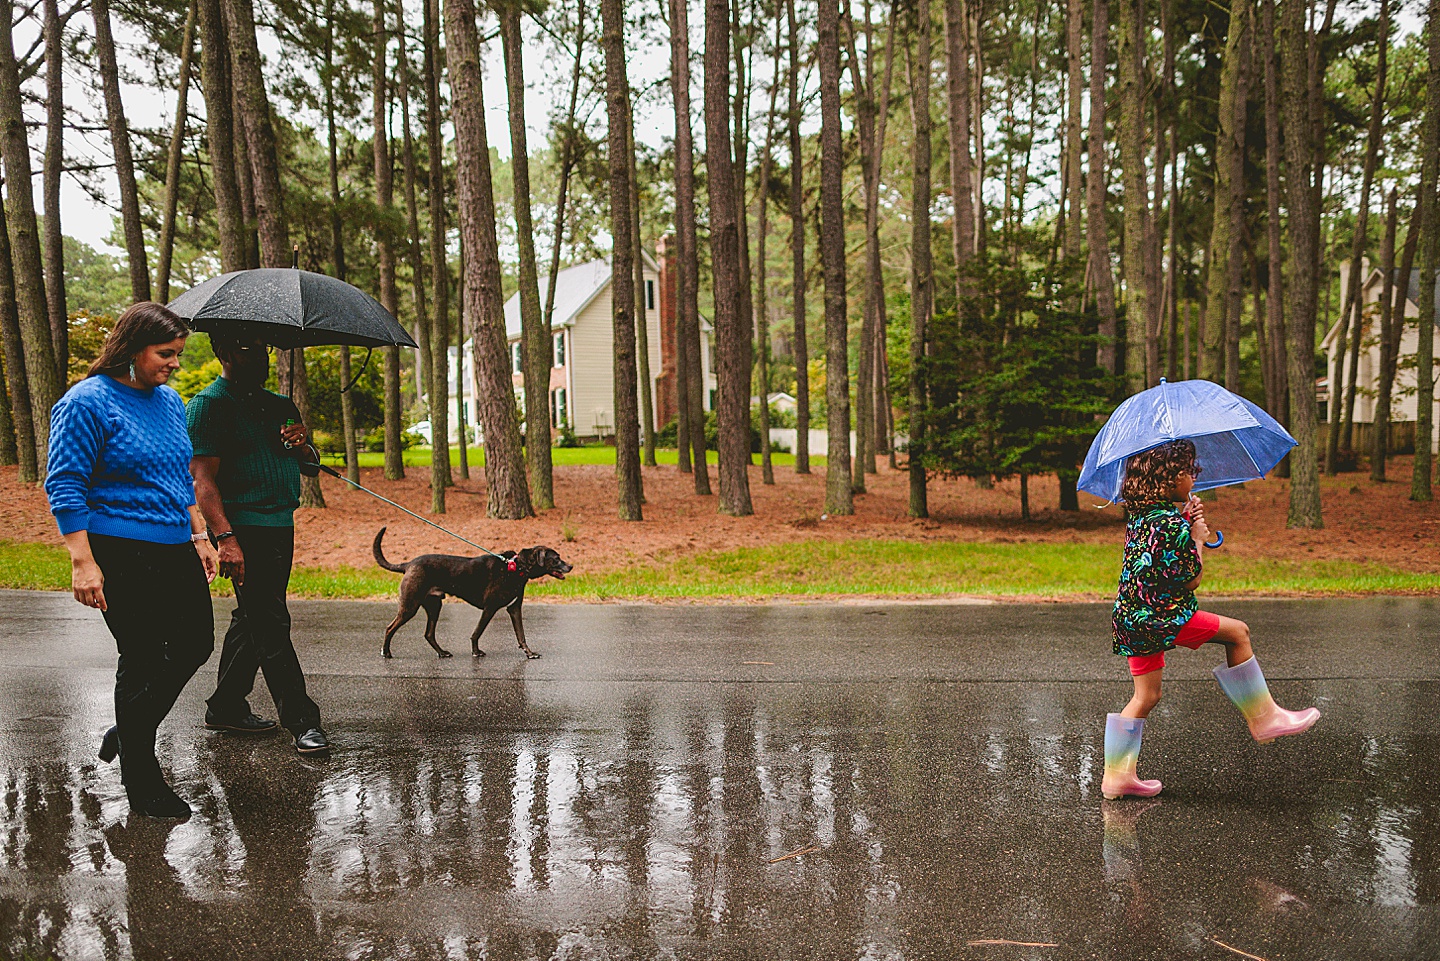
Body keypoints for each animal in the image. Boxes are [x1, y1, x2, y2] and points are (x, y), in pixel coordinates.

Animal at [371, 530, 573, 656]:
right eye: (556, 559)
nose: (571, 566)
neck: (516, 568)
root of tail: (409, 564)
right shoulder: (490, 608)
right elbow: (477, 632)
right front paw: (476, 652)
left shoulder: (514, 608)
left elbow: (521, 635)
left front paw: (529, 653)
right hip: (410, 605)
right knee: (390, 628)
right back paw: (386, 652)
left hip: (434, 606)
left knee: (428, 634)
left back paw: (442, 653)